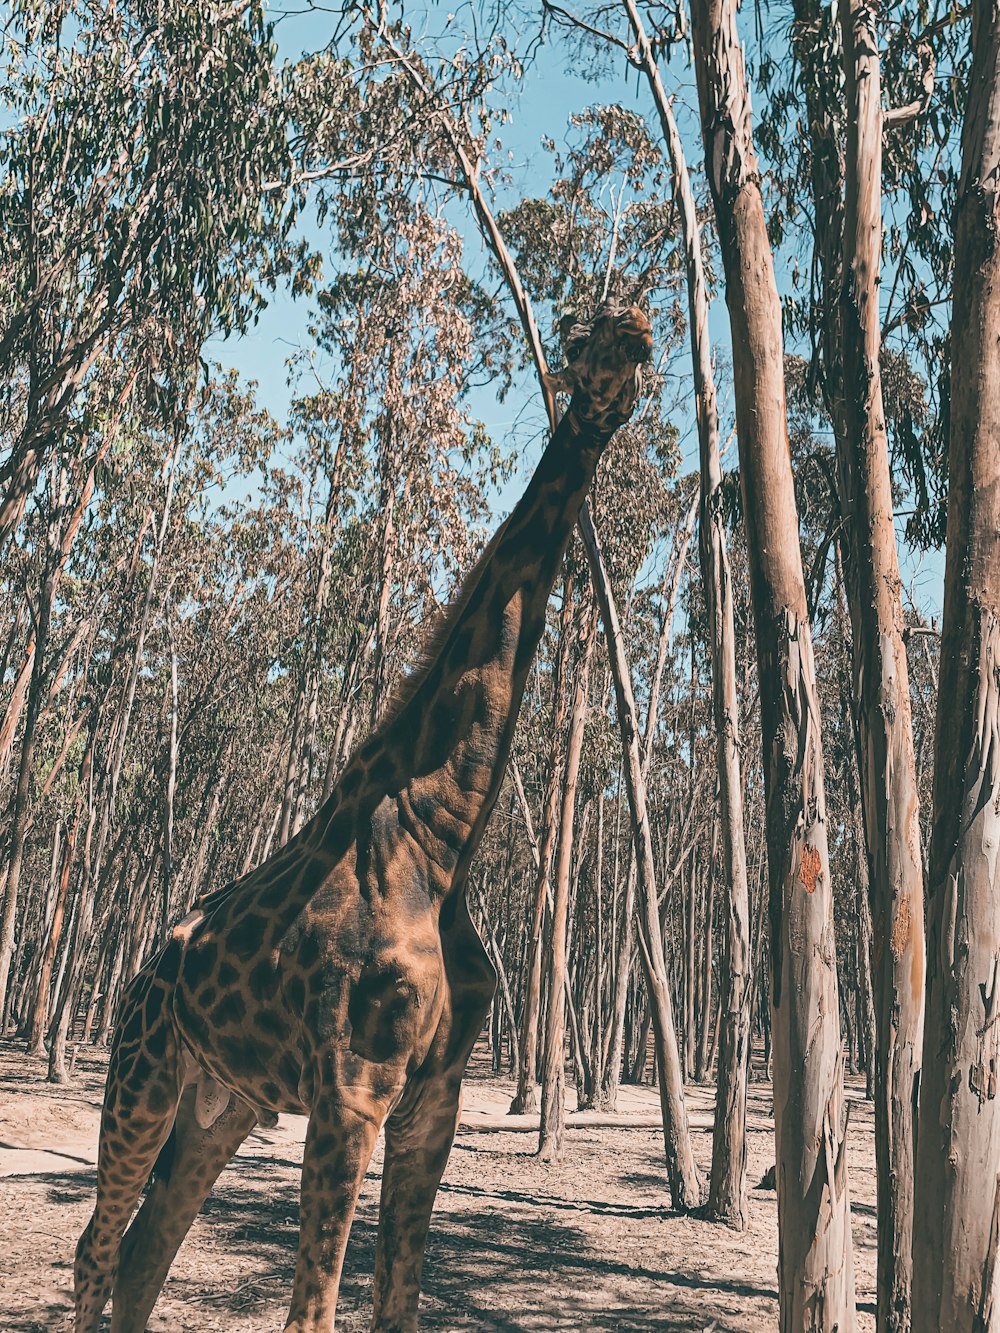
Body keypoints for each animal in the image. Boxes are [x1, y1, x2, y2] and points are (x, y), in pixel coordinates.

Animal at [78, 302, 658, 1333]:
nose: (634, 338)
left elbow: (400, 1305)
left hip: (219, 1104)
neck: (444, 836)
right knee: (99, 1248)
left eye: (628, 330)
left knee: (145, 1255)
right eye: (588, 334)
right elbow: (310, 1312)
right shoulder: (352, 1090)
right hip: (141, 1076)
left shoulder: (435, 1098)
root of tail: (139, 973)